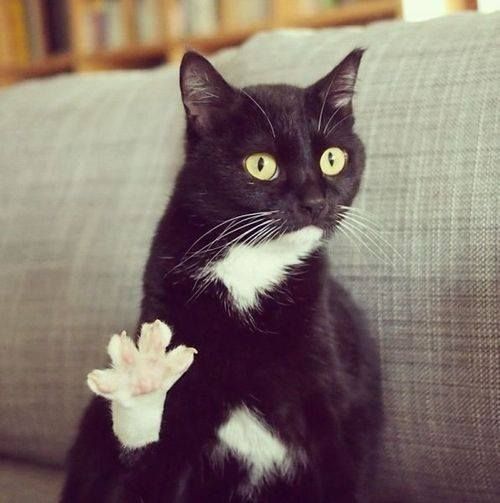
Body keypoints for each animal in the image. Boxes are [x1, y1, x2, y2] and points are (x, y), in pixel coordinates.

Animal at [61, 48, 382, 503]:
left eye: (333, 159)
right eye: (261, 165)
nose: (315, 202)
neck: (250, 265)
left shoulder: (338, 407)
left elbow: (345, 471)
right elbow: (147, 465)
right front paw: (144, 380)